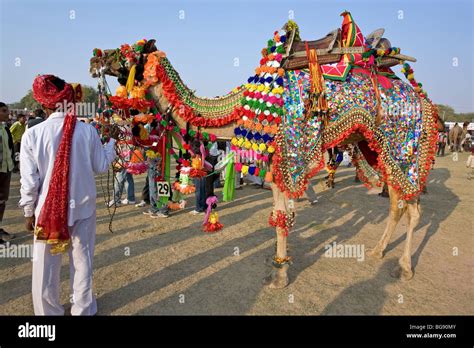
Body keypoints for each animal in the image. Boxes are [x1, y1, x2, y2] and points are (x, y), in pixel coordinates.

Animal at [90, 11, 438, 288]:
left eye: (127, 51)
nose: (95, 57)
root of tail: (423, 100)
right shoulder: (274, 166)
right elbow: (277, 215)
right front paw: (279, 265)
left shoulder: (287, 156)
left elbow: (283, 218)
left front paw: (279, 275)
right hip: (374, 147)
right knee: (396, 203)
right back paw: (379, 251)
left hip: (403, 143)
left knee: (413, 207)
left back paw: (404, 267)